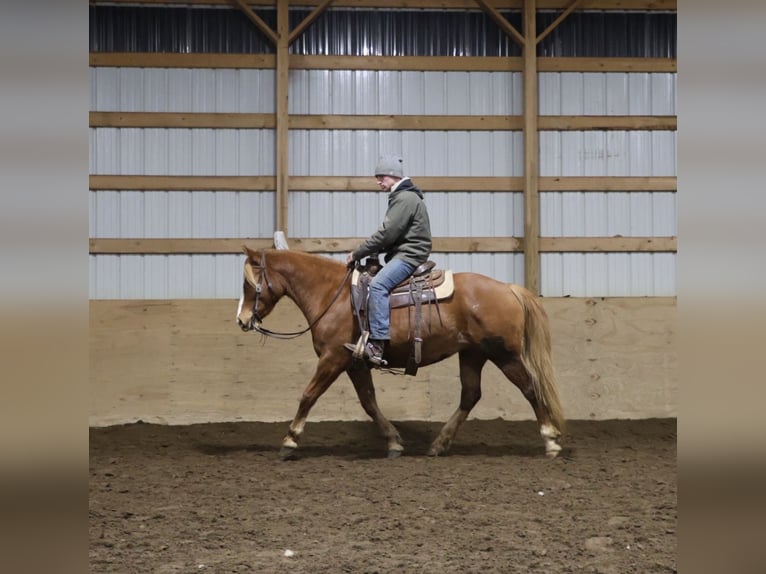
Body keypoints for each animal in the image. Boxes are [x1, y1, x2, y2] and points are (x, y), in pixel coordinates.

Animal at [236, 245, 565, 460]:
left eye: (249, 284)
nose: (242, 320)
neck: (333, 296)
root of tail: (509, 288)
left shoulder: (333, 359)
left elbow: (308, 395)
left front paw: (289, 441)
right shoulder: (355, 364)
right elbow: (369, 403)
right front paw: (394, 442)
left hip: (505, 355)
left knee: (530, 388)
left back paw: (550, 441)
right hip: (473, 354)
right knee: (470, 395)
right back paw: (439, 444)